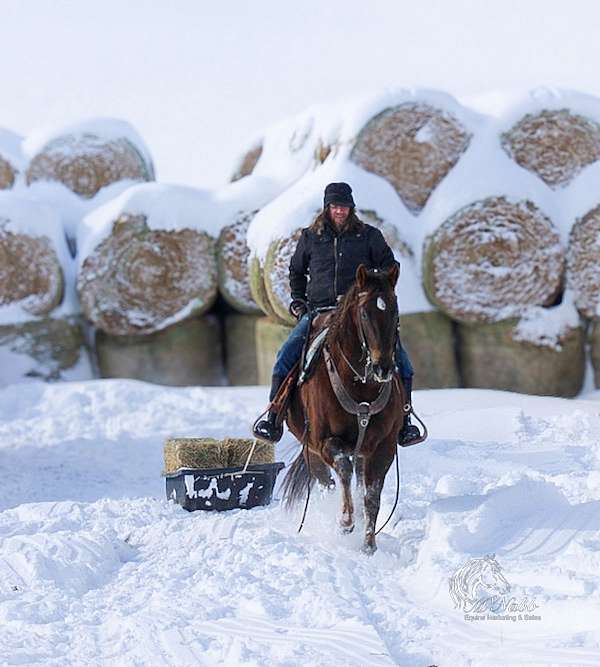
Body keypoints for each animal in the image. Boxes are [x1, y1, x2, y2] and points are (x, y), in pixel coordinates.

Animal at [282, 264, 406, 552]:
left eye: (395, 310)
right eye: (364, 312)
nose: (383, 367)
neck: (361, 387)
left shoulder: (383, 447)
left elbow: (371, 495)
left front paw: (369, 545)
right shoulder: (325, 442)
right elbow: (343, 470)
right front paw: (346, 521)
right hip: (311, 451)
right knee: (327, 482)